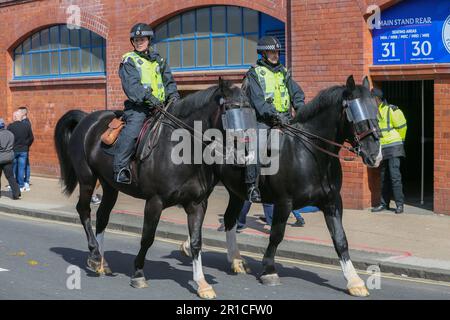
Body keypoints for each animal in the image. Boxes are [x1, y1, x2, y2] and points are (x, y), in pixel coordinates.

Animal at [54, 80, 248, 300]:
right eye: (229, 110)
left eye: (248, 109)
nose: (244, 150)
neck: (183, 148)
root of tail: (87, 119)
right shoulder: (155, 201)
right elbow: (147, 238)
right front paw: (138, 273)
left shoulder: (197, 204)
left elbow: (197, 242)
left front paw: (202, 284)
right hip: (87, 179)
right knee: (84, 210)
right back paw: (94, 254)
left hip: (110, 185)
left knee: (102, 216)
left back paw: (101, 263)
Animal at [179, 75, 380, 298]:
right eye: (354, 113)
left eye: (375, 110)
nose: (375, 155)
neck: (309, 153)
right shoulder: (284, 202)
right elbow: (276, 235)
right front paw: (269, 270)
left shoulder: (332, 202)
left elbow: (340, 239)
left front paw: (354, 281)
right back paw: (192, 246)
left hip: (237, 192)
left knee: (230, 219)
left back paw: (236, 260)